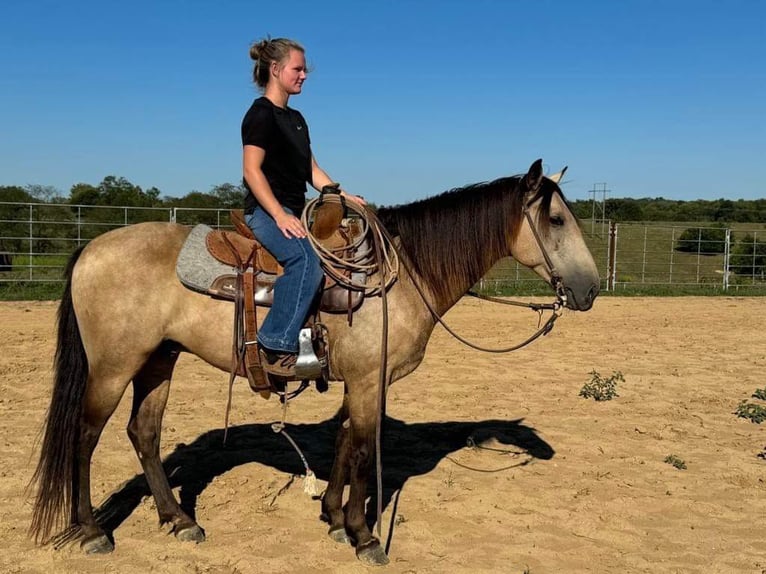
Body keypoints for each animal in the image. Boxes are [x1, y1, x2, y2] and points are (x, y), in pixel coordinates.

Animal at [30, 161, 604, 568]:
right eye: (556, 219)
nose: (590, 289)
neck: (401, 274)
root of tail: (91, 249)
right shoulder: (371, 380)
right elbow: (365, 447)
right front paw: (364, 535)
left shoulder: (362, 380)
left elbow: (346, 440)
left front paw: (333, 518)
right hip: (113, 367)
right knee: (85, 435)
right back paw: (92, 531)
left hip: (158, 360)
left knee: (144, 432)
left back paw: (179, 520)